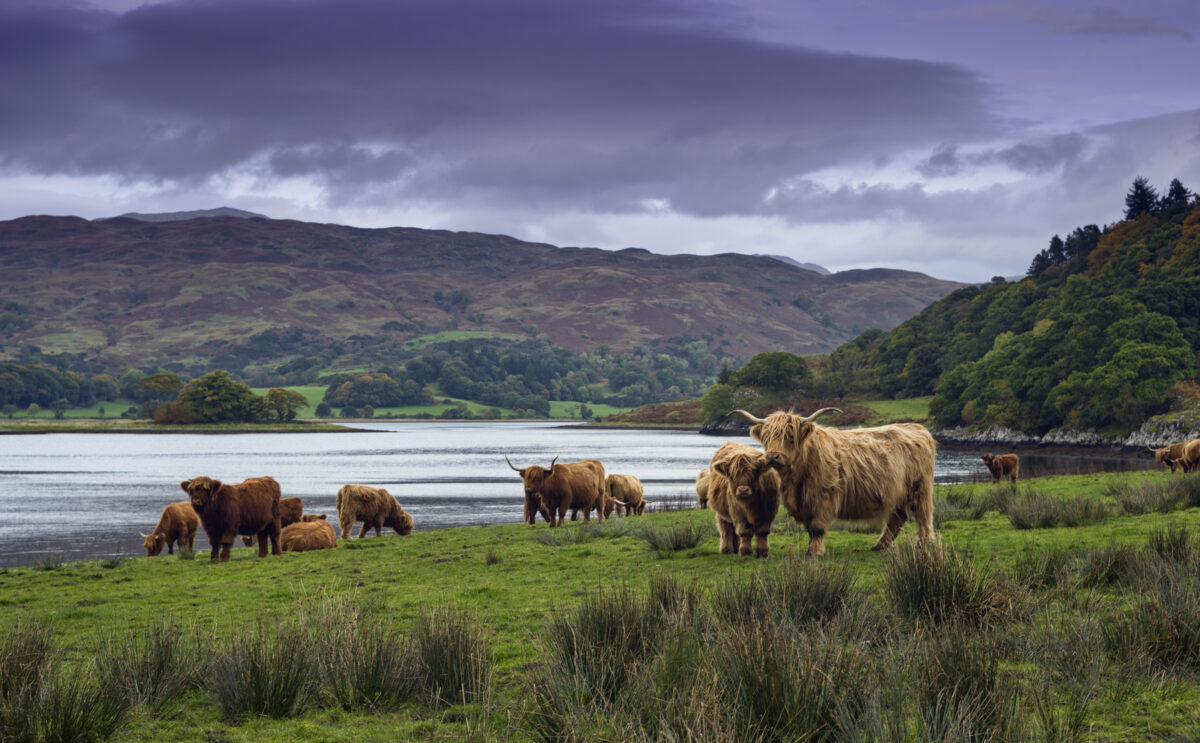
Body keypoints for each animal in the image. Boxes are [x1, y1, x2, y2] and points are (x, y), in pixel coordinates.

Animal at [732, 408, 936, 557]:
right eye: (767, 437)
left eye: (790, 437)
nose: (773, 456)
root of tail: (918, 429)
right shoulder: (805, 503)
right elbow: (810, 529)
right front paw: (810, 549)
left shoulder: (823, 497)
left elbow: (817, 528)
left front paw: (816, 552)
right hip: (897, 492)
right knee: (898, 517)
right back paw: (880, 546)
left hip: (920, 488)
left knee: (923, 515)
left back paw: (924, 544)